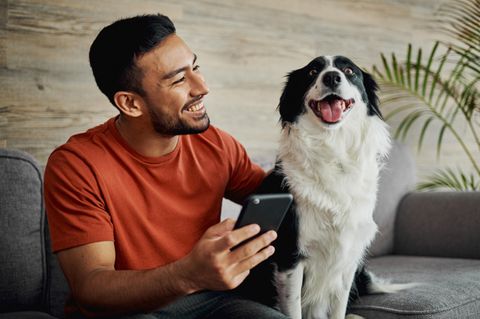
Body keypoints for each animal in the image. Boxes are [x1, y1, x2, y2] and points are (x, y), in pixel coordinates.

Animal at [238, 56, 404, 318]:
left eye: (349, 70)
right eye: (312, 71)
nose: (332, 77)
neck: (333, 149)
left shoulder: (347, 257)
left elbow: (338, 308)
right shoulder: (290, 256)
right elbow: (294, 309)